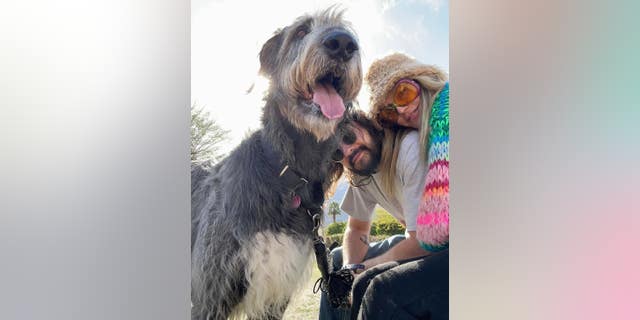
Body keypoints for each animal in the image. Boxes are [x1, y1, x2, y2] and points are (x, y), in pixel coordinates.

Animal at [189, 8, 360, 320]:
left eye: (348, 33)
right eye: (301, 31)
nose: (343, 43)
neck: (285, 175)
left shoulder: (274, 297)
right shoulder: (210, 295)